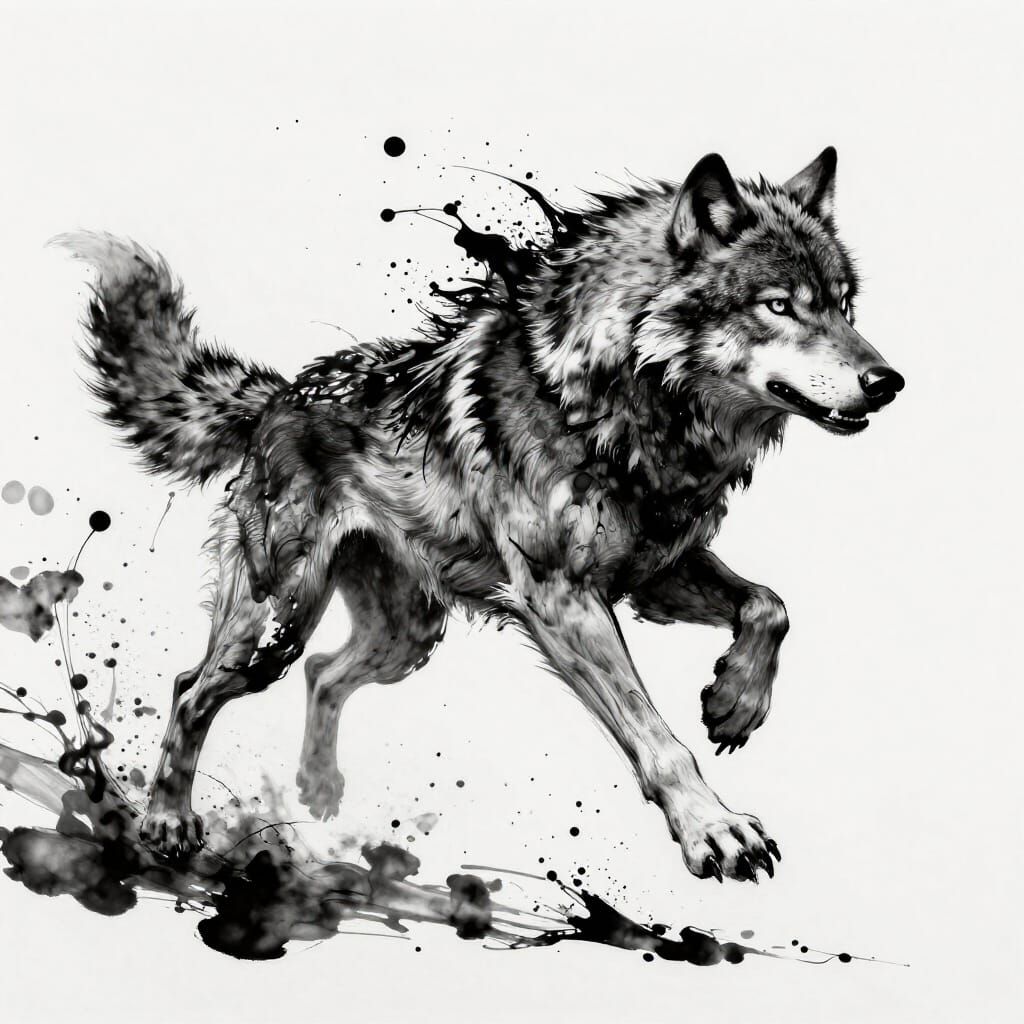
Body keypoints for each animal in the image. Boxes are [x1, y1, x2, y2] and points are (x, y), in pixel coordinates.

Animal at [56, 147, 903, 882]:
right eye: (780, 307)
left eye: (844, 307)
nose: (888, 380)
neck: (623, 408)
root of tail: (279, 395)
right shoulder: (563, 596)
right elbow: (659, 739)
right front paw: (716, 830)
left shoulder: (656, 574)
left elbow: (771, 606)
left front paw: (734, 702)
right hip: (274, 621)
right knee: (189, 688)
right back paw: (167, 823)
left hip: (404, 638)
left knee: (324, 675)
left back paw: (320, 794)